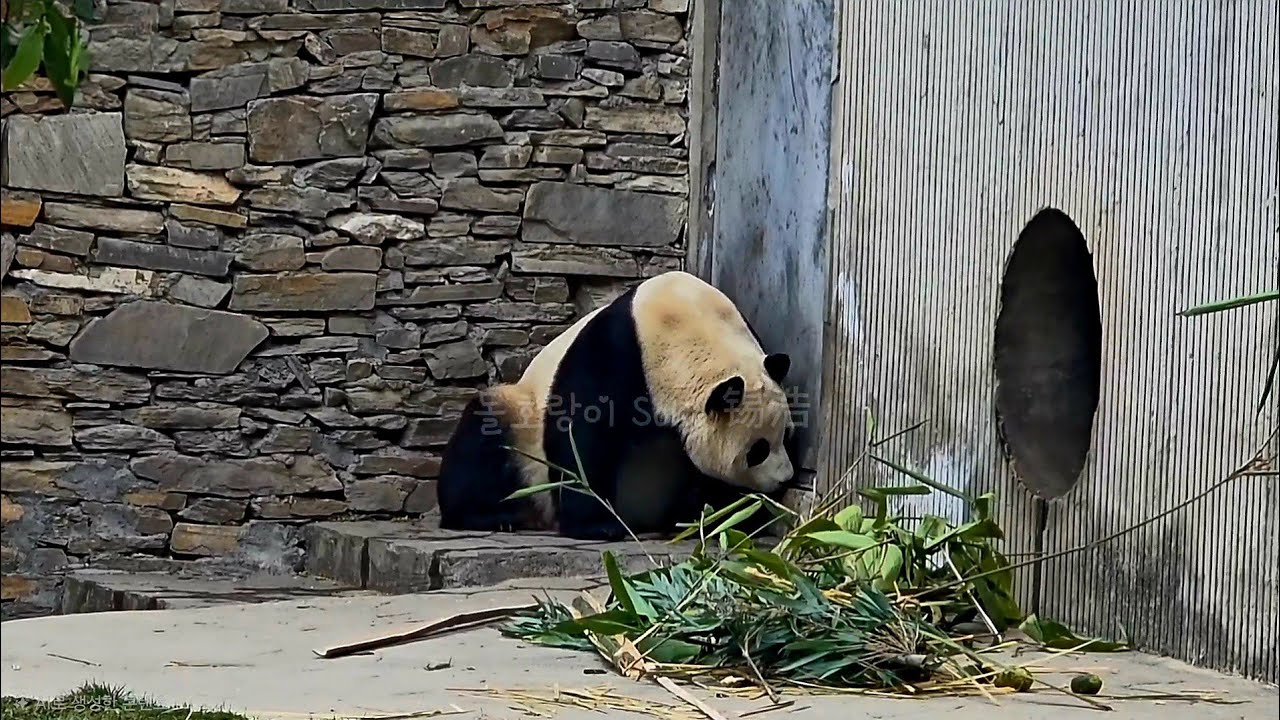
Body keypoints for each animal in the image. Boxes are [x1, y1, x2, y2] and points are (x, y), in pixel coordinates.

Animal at [436, 270, 797, 541]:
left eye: (788, 435)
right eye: (757, 450)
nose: (786, 480)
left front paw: (719, 517)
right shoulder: (613, 353)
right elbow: (581, 435)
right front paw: (597, 525)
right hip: (521, 423)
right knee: (483, 437)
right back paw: (491, 516)